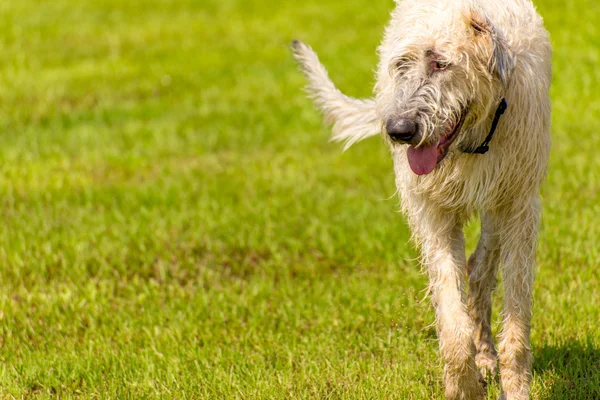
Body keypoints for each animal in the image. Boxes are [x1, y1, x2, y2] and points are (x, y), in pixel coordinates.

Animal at [292, 0, 552, 400]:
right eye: (402, 65)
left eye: (441, 64)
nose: (398, 130)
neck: (471, 140)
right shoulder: (433, 214)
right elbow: (452, 320)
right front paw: (464, 384)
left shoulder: (519, 203)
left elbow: (517, 319)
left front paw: (515, 387)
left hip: (500, 206)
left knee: (481, 268)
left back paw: (487, 351)